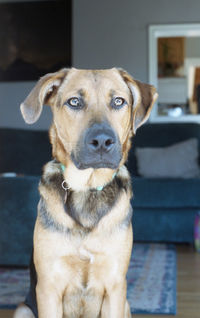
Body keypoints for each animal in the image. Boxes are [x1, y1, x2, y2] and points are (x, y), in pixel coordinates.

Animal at [13, 67, 158, 318]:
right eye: (75, 102)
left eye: (119, 101)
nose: (102, 141)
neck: (87, 188)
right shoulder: (48, 288)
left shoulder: (115, 287)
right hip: (23, 310)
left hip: (126, 305)